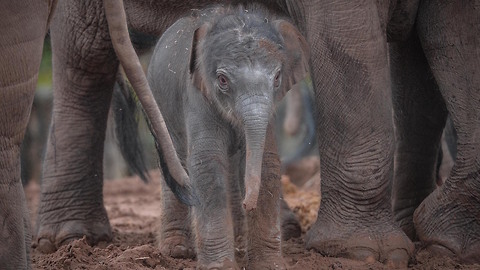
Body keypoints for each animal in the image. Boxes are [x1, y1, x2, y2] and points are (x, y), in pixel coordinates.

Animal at [121, 5, 308, 268]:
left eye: (277, 77)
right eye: (222, 80)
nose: (247, 204)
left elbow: (267, 162)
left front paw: (269, 265)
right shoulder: (197, 97)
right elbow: (206, 163)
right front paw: (221, 266)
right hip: (161, 103)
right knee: (176, 161)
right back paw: (177, 250)